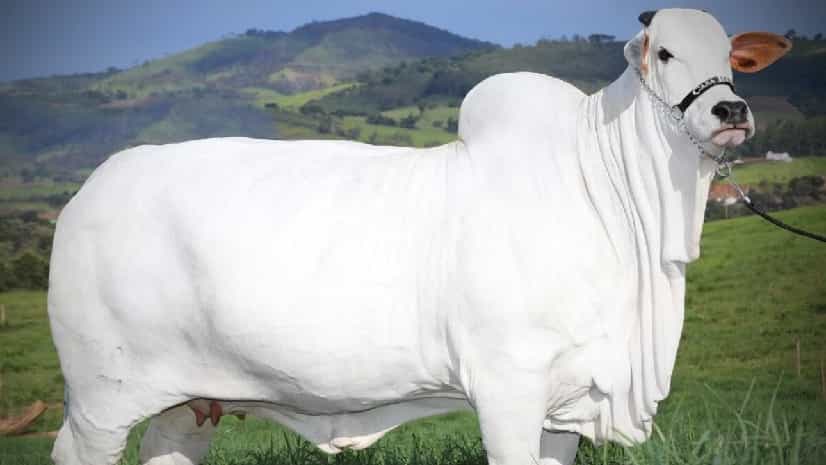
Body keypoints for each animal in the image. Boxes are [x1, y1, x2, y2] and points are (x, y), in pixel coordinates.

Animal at [48, 8, 790, 465]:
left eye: (731, 57)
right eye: (664, 51)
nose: (731, 110)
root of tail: (86, 194)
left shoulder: (566, 404)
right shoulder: (507, 387)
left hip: (188, 401)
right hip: (102, 397)